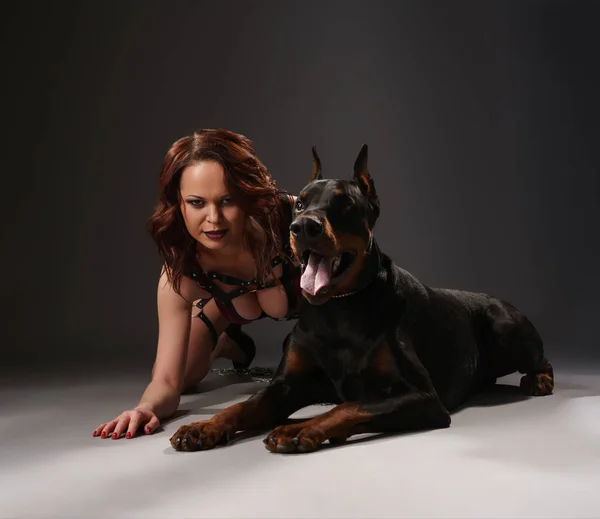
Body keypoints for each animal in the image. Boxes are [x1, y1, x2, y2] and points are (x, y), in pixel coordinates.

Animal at [170, 144, 552, 452]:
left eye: (345, 205)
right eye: (300, 204)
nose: (303, 227)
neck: (338, 309)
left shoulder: (424, 397)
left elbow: (350, 404)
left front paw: (300, 429)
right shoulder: (286, 384)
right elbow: (242, 405)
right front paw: (203, 427)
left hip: (505, 327)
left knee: (540, 360)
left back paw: (539, 379)